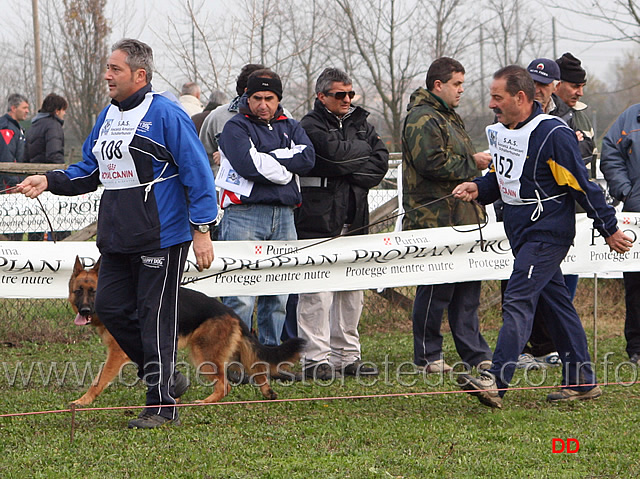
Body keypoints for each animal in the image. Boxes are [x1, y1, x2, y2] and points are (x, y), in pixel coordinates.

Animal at [69, 256, 304, 406]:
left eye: (93, 291)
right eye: (78, 291)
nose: (84, 310)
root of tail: (230, 312)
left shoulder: (118, 353)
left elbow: (98, 380)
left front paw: (83, 401)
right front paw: (174, 395)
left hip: (203, 355)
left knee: (225, 385)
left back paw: (205, 402)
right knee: (257, 369)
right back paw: (268, 392)